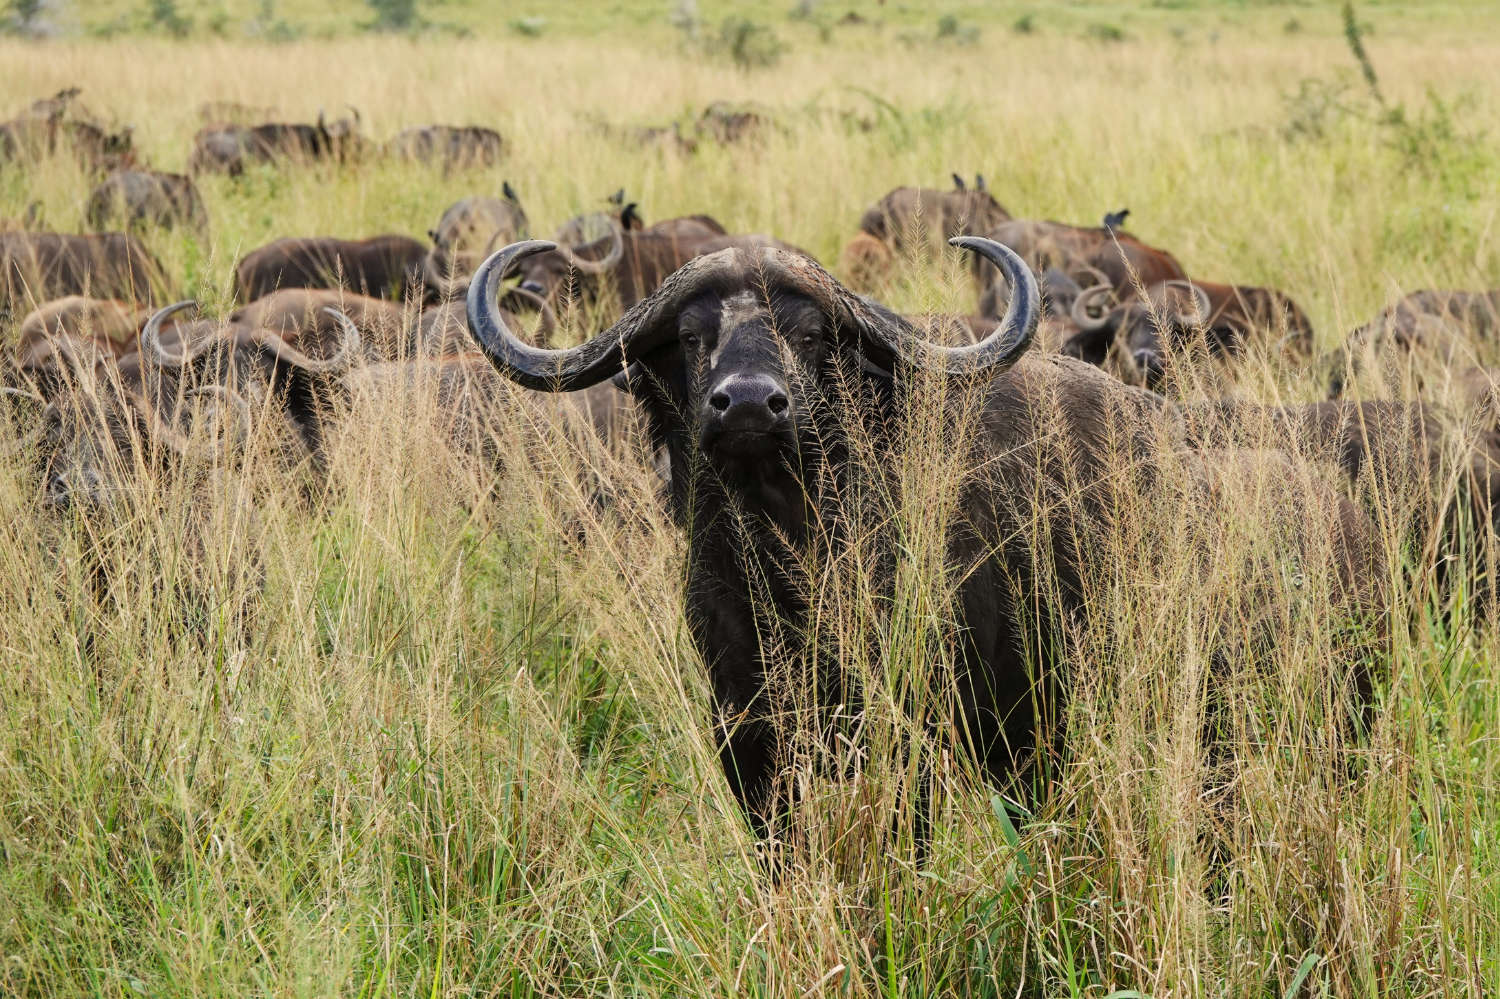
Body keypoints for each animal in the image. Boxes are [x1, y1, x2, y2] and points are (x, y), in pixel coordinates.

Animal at [465, 235, 1380, 858]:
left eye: (811, 334)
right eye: (692, 336)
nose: (751, 404)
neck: (792, 563)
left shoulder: (917, 741)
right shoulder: (748, 736)